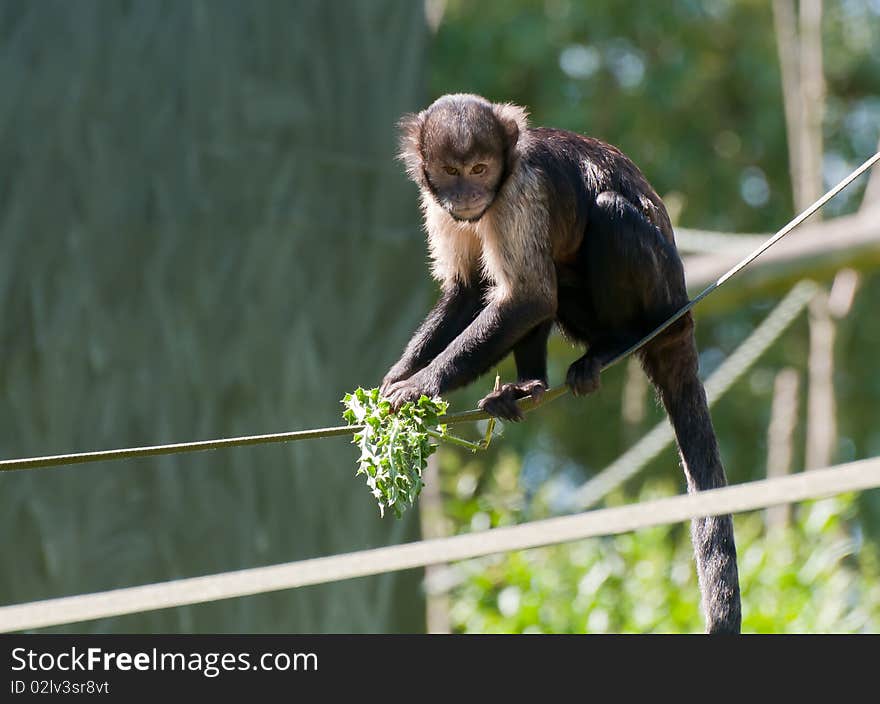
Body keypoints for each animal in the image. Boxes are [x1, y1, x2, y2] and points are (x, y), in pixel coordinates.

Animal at [382, 91, 740, 636]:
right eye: (450, 171)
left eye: (481, 168)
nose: (467, 194)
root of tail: (682, 321)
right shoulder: (440, 204)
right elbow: (469, 290)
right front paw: (396, 379)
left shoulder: (519, 189)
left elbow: (527, 297)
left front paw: (421, 385)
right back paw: (528, 386)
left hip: (663, 301)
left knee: (603, 220)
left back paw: (614, 344)